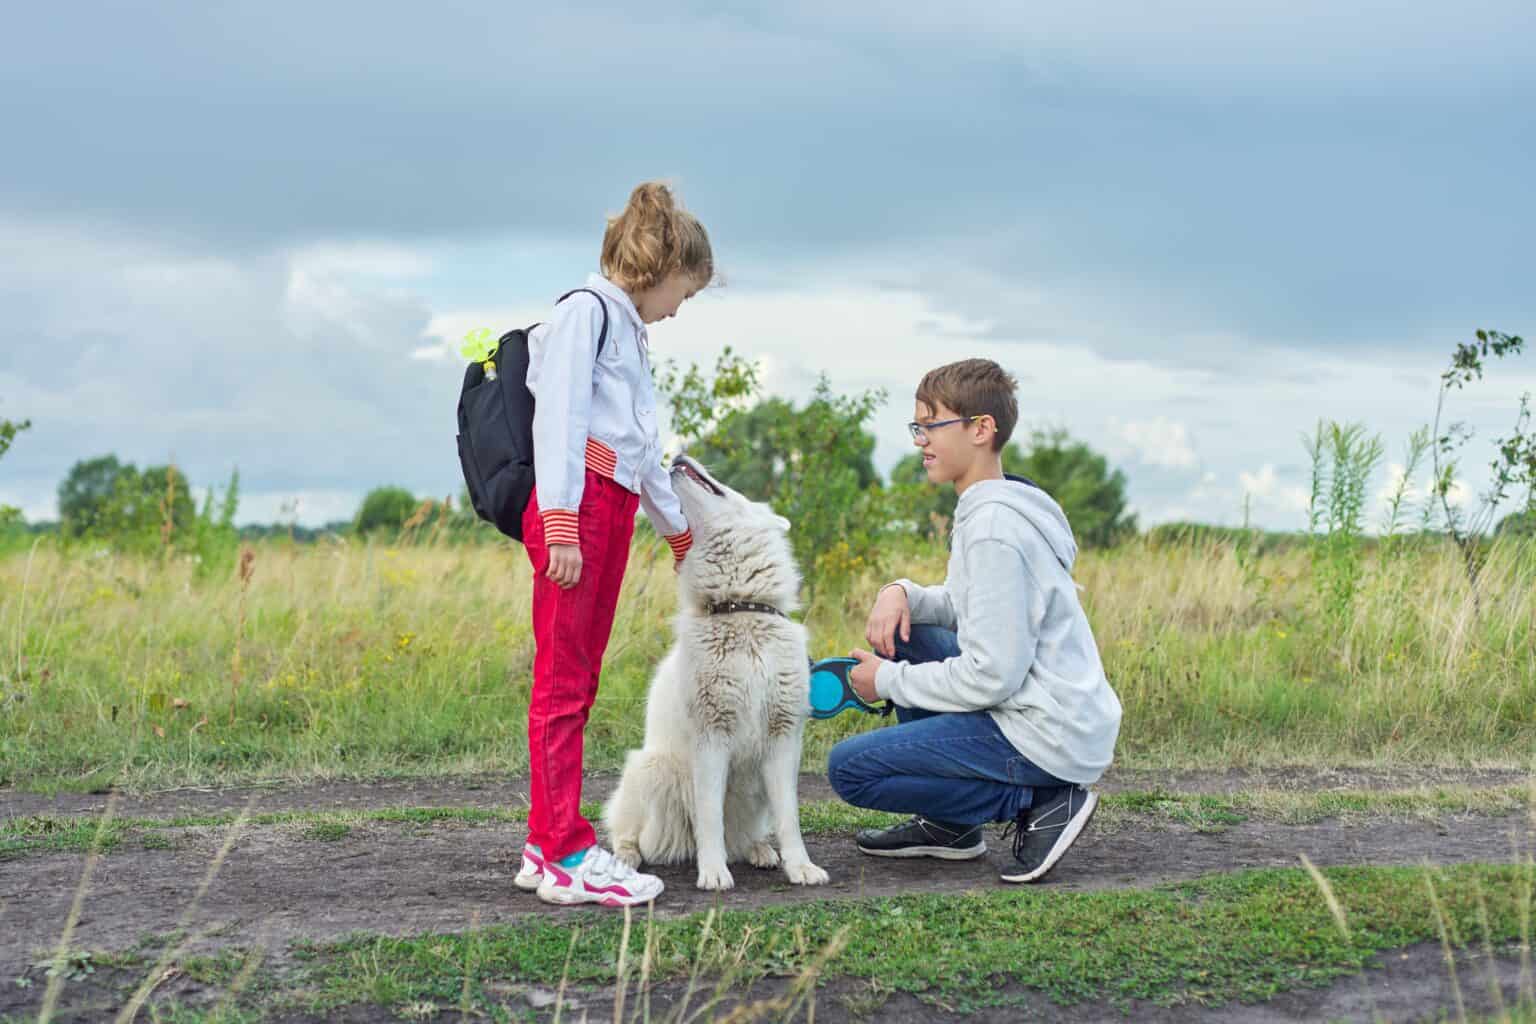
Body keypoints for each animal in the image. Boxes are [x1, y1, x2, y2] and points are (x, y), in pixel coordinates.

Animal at [605, 457, 835, 890]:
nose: (677, 458)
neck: (740, 606)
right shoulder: (711, 739)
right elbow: (709, 815)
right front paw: (713, 872)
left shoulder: (783, 741)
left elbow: (789, 817)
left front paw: (800, 867)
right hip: (651, 769)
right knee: (629, 832)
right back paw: (628, 858)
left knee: (743, 837)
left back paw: (759, 850)